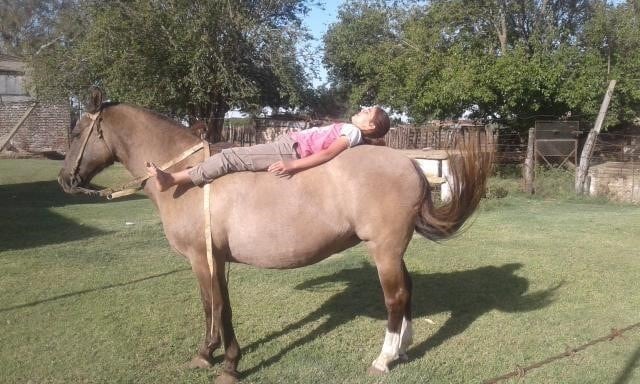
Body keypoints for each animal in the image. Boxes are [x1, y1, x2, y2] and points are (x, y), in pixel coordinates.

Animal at [57, 88, 492, 384]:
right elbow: (215, 306)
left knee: (395, 297)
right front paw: (210, 354)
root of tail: (411, 165)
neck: (190, 182)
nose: (64, 180)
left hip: (383, 249)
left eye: (77, 132)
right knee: (408, 289)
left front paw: (227, 364)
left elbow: (216, 307)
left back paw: (383, 359)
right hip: (393, 250)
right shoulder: (215, 260)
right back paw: (404, 348)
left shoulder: (201, 259)